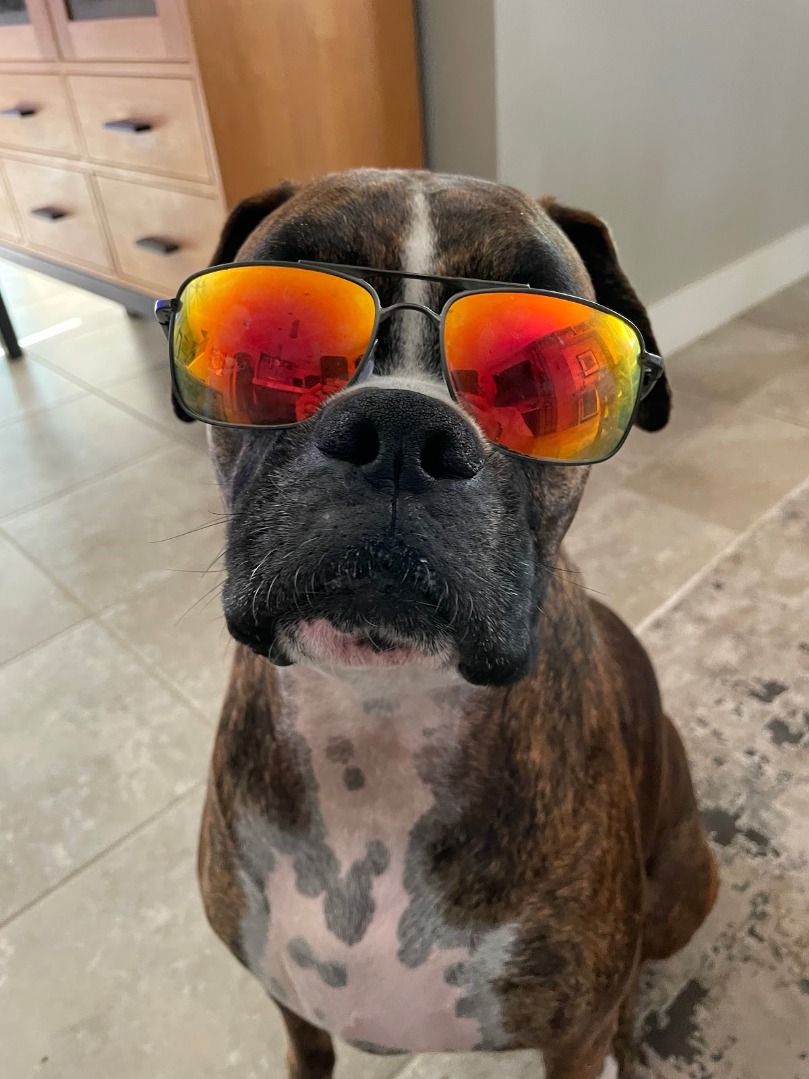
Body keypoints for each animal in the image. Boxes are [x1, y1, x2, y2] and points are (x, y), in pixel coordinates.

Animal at [174, 169, 718, 1078]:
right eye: (274, 334)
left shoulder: (571, 1037)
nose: (400, 427)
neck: (379, 717)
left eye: (533, 379)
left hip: (687, 885)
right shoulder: (290, 1008)